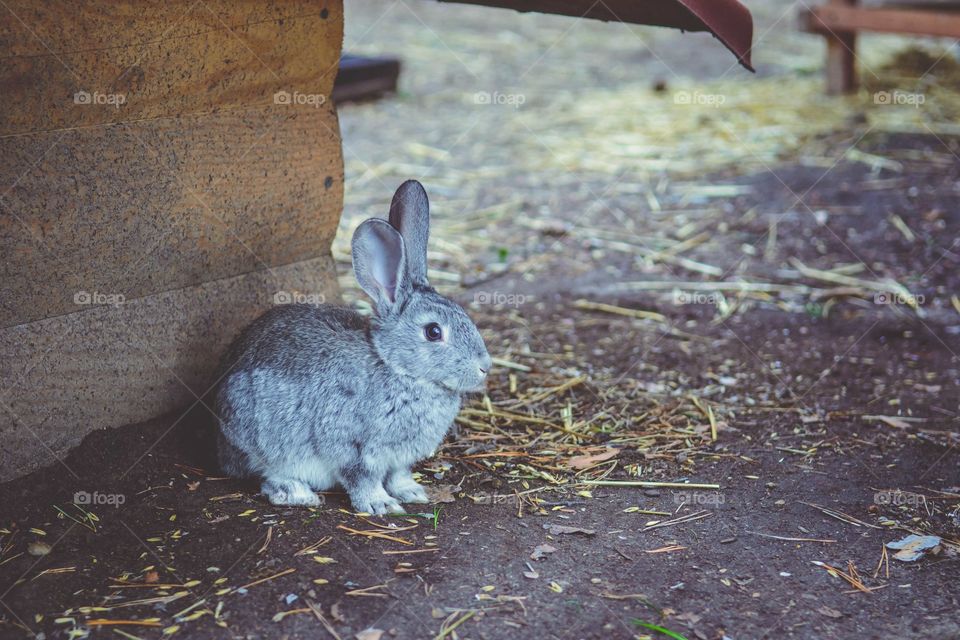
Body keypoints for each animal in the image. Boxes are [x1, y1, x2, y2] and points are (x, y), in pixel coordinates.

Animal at [214, 180, 492, 515]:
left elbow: (398, 475)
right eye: (434, 332)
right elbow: (362, 478)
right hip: (259, 437)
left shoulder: (398, 459)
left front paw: (412, 492)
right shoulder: (353, 447)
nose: (484, 367)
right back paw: (297, 493)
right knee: (265, 476)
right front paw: (381, 504)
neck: (397, 369)